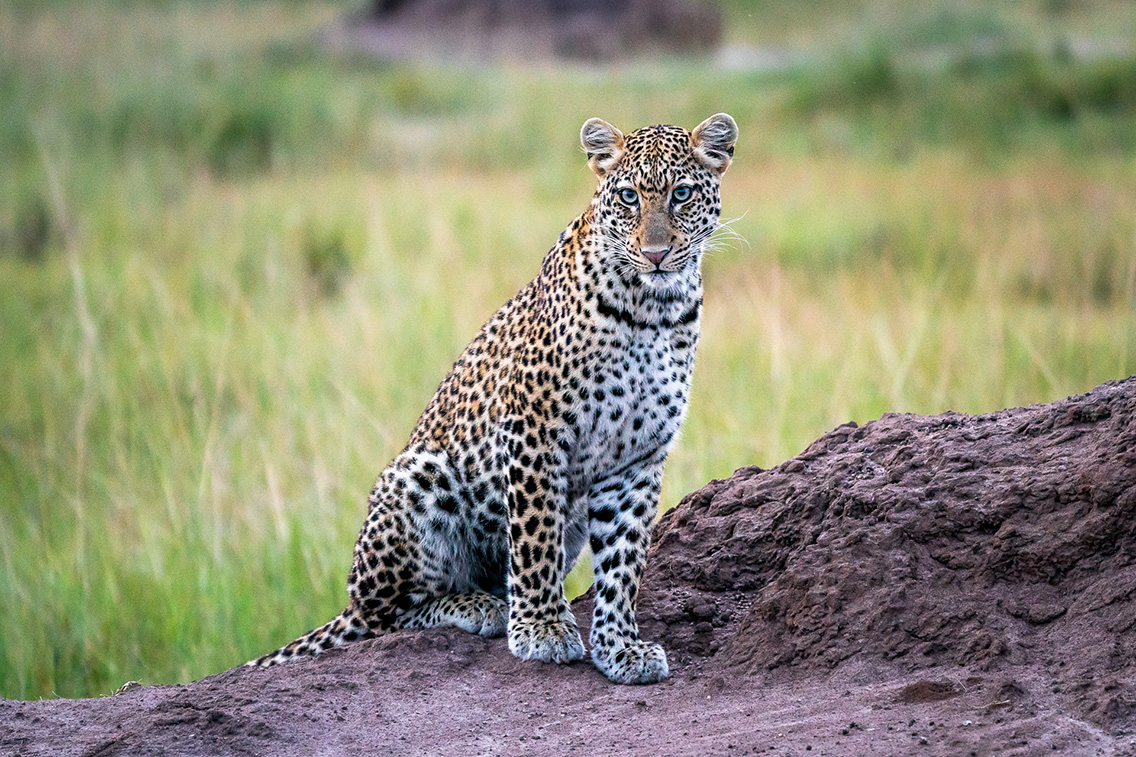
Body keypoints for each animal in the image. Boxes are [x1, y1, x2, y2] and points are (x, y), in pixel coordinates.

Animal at [248, 113, 738, 685]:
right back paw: (478, 607)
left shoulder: (637, 456)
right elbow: (534, 536)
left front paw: (621, 647)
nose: (657, 254)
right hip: (418, 478)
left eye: (681, 194)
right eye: (628, 197)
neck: (654, 308)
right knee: (386, 616)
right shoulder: (534, 427)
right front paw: (542, 628)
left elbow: (624, 560)